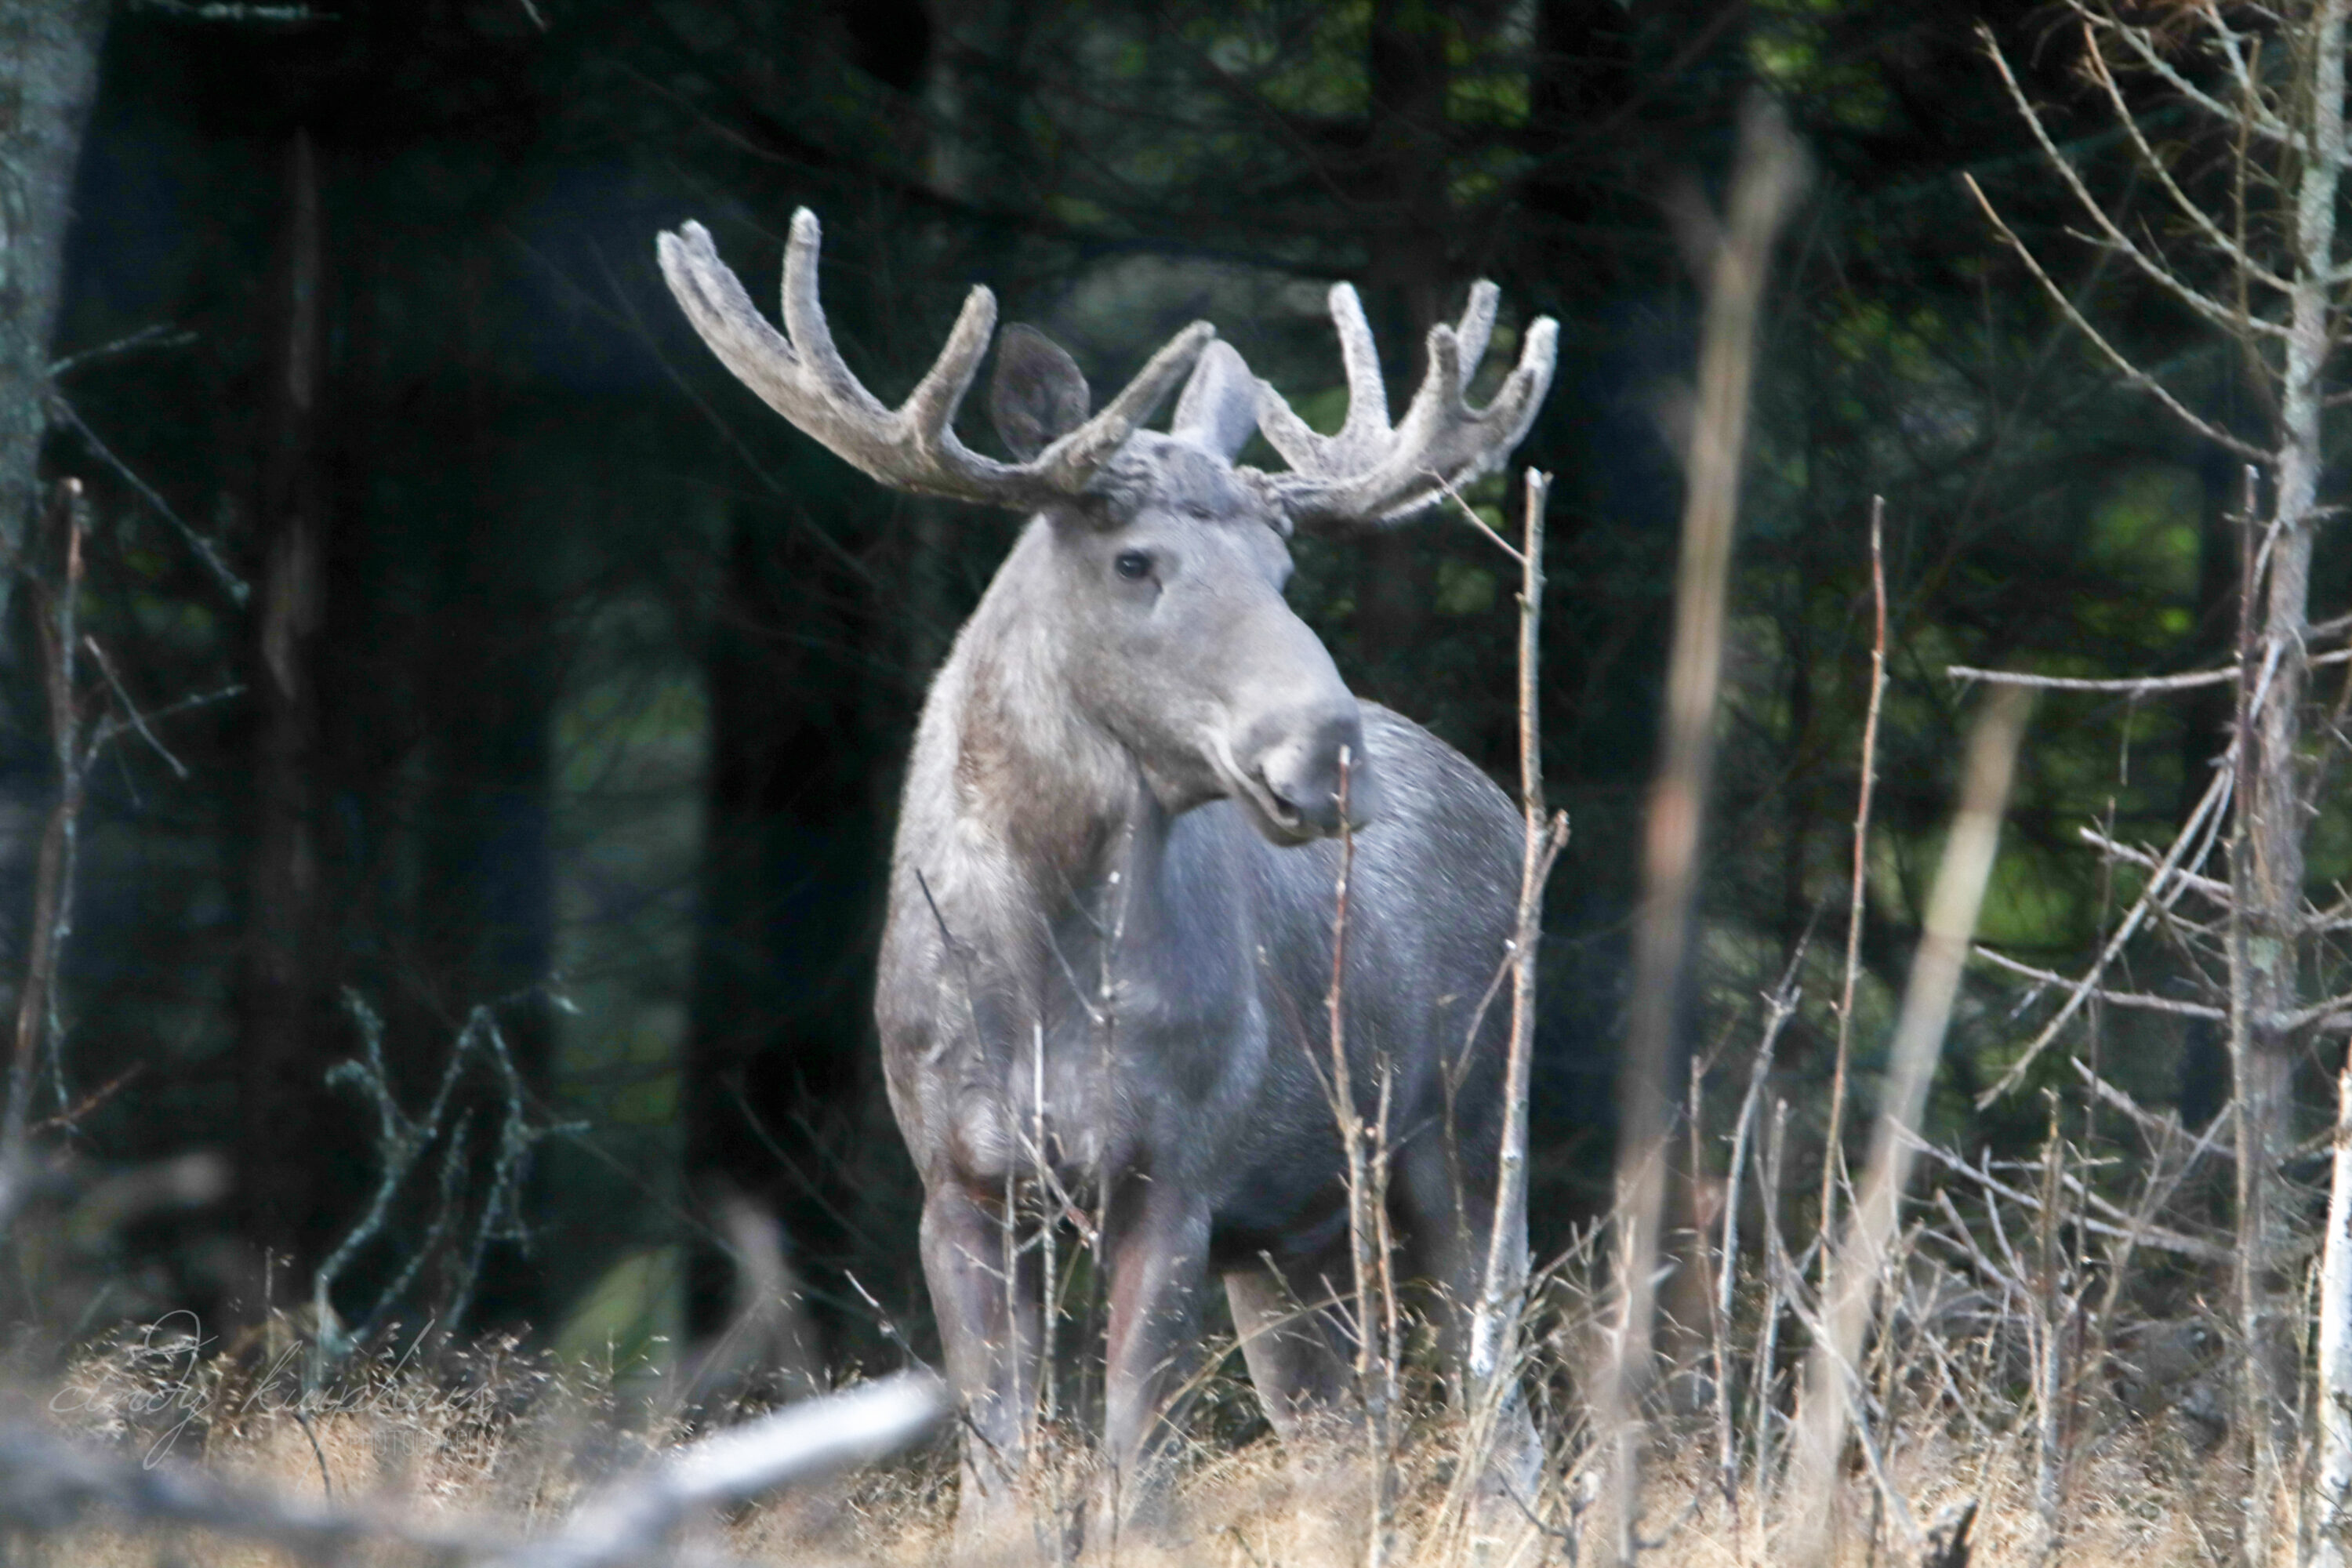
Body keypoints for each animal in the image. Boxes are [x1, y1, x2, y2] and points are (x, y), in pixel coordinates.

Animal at [657, 209, 1557, 1549]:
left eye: (1285, 568)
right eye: (1135, 563)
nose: (1324, 753)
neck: (1041, 977)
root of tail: (1500, 804)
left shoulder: (1177, 1167)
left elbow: (1141, 1471)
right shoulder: (958, 1178)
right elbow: (998, 1476)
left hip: (1477, 1120)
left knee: (1505, 1415)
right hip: (1295, 1244)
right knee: (1341, 1439)